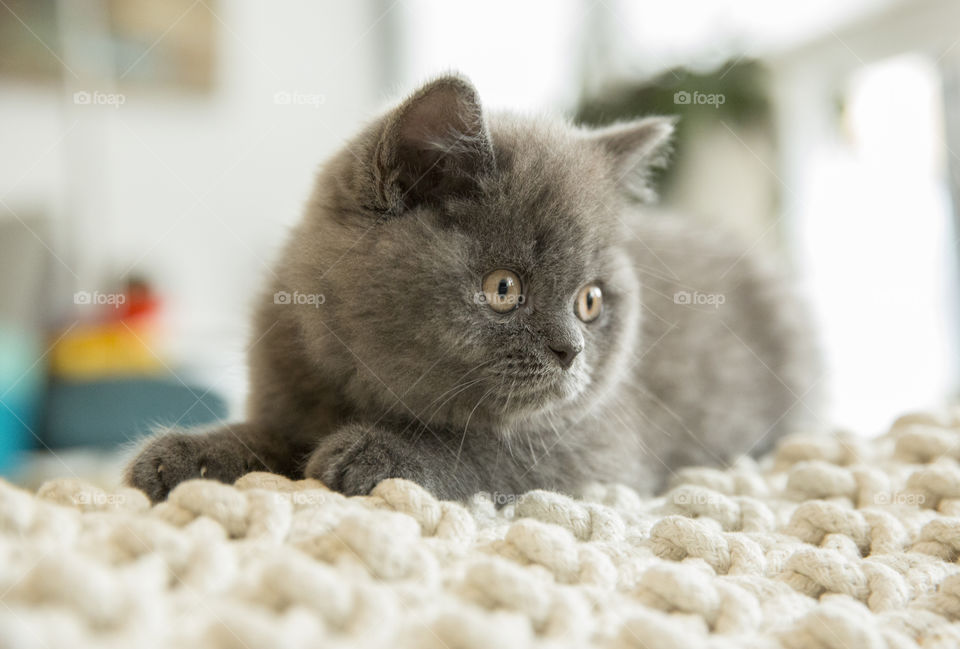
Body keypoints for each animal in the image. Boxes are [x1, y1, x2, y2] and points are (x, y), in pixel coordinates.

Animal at [127, 74, 816, 502]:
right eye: (503, 287)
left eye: (590, 302)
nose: (572, 351)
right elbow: (266, 433)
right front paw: (184, 455)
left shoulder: (598, 444)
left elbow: (485, 449)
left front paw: (375, 453)